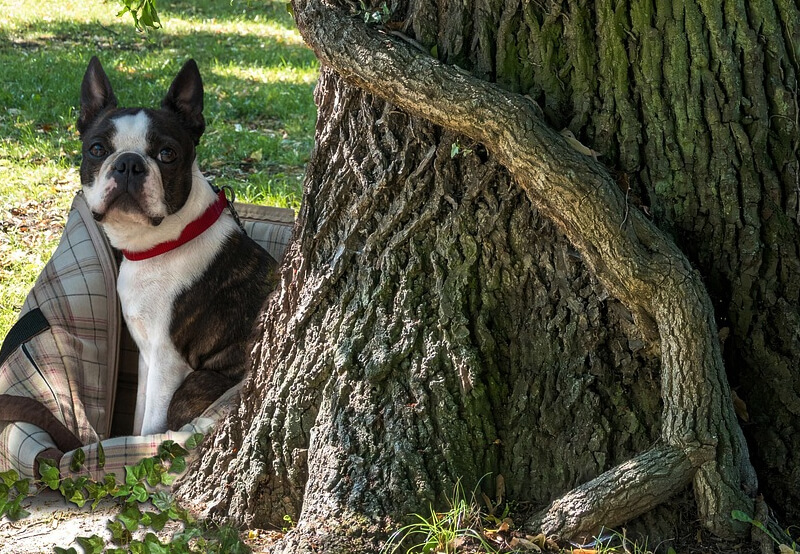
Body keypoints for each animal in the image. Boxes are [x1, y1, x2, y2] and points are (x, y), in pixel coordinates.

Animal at [77, 57, 278, 436]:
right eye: (97, 150)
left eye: (167, 154)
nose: (128, 163)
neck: (161, 244)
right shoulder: (146, 358)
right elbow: (139, 414)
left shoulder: (167, 363)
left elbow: (151, 426)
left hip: (195, 384)